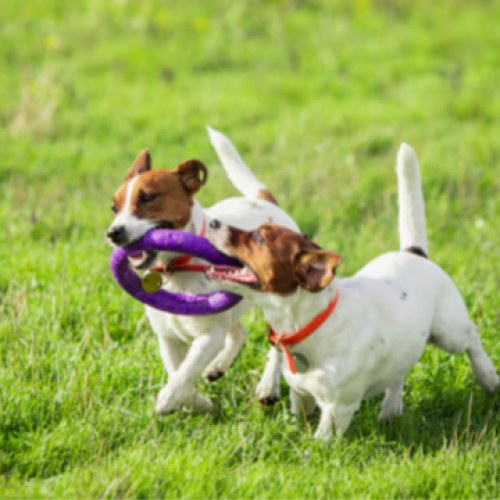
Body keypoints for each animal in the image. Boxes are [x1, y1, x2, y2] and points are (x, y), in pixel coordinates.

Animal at [107, 127, 298, 416]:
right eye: (114, 208)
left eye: (147, 197)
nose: (113, 233)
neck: (178, 268)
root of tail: (264, 202)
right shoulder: (168, 338)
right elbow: (179, 373)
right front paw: (198, 403)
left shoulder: (208, 336)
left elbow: (184, 374)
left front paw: (167, 400)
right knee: (238, 333)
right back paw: (218, 367)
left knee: (277, 344)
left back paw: (268, 386)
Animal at [205, 144, 498, 438]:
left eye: (258, 238)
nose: (213, 222)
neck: (311, 324)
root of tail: (414, 253)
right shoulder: (302, 396)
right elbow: (301, 417)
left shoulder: (337, 410)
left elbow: (318, 441)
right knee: (399, 371)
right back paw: (390, 410)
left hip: (449, 332)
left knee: (471, 336)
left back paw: (488, 377)